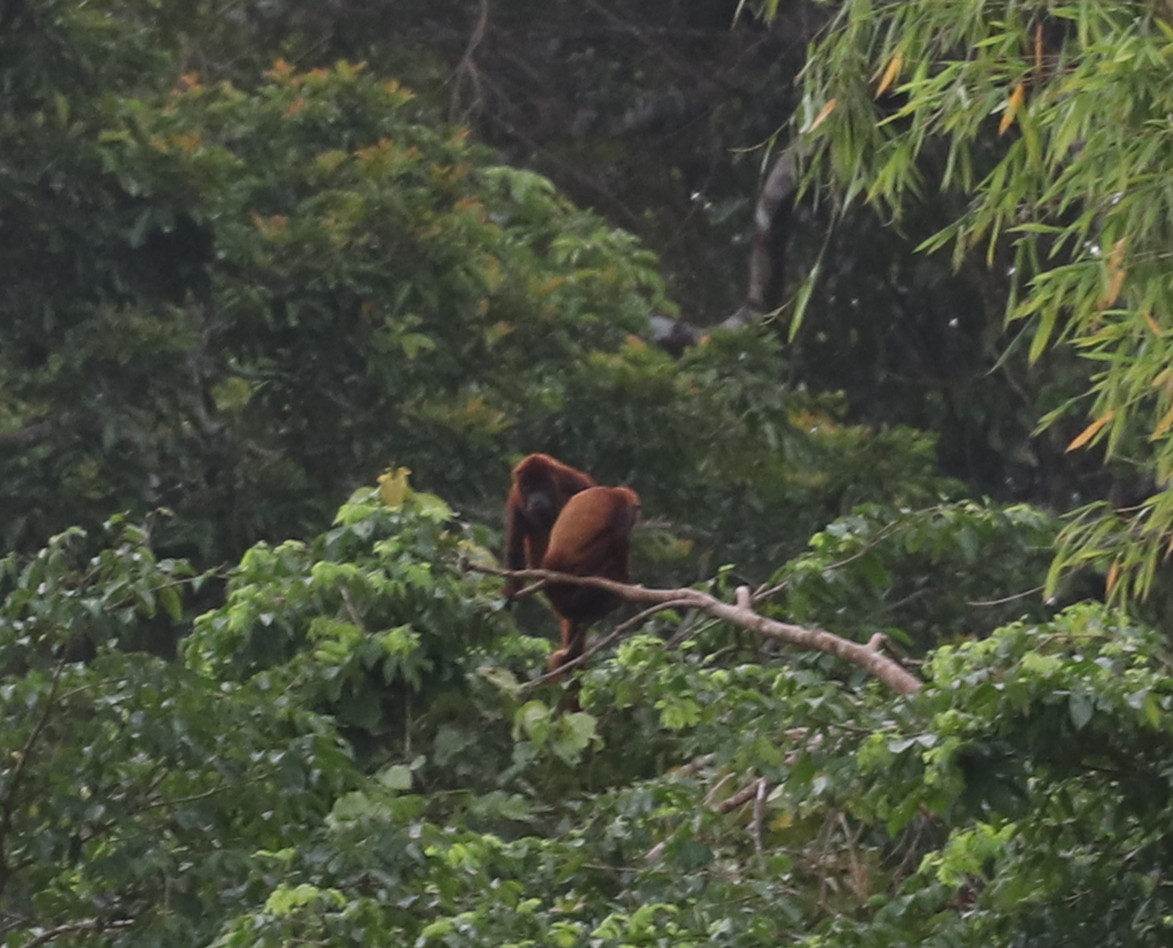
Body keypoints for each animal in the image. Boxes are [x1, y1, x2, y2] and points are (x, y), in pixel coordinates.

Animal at [504, 452, 595, 600]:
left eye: (543, 486)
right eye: (528, 489)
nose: (536, 499)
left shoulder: (571, 478)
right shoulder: (515, 500)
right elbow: (515, 544)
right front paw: (512, 590)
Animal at [539, 488, 642, 675]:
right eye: (635, 512)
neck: (615, 492)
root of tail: (551, 562)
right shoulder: (621, 512)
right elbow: (619, 536)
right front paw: (623, 579)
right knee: (611, 538)